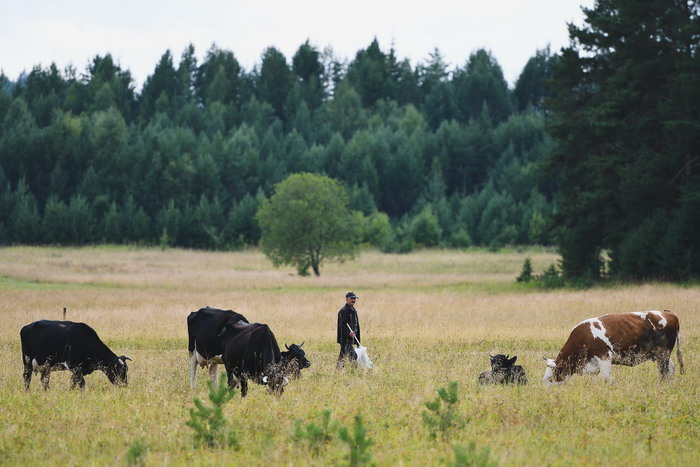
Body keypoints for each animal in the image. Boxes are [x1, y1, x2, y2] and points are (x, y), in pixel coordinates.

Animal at [540, 310, 684, 384]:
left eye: (550, 378)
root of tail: (668, 313)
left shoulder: (604, 357)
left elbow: (606, 378)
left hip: (663, 354)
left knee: (664, 372)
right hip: (662, 354)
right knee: (671, 370)